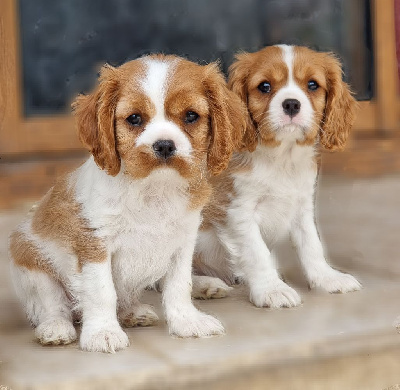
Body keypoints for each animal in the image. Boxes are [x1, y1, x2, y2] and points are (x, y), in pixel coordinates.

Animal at [8, 55, 247, 354]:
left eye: (191, 116)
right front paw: (103, 333)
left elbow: (179, 285)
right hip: (31, 262)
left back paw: (135, 312)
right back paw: (56, 328)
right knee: (53, 306)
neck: (154, 189)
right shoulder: (94, 245)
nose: (164, 145)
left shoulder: (182, 243)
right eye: (134, 118)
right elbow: (102, 292)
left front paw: (187, 321)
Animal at [194, 45, 362, 308]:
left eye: (313, 85)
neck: (283, 158)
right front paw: (272, 289)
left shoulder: (302, 206)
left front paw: (327, 278)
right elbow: (257, 253)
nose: (291, 104)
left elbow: (311, 245)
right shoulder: (237, 212)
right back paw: (206, 285)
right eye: (264, 86)